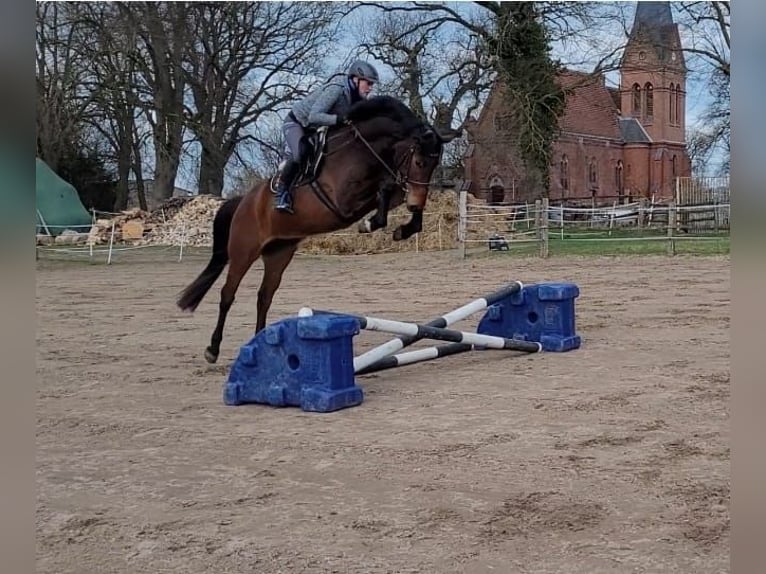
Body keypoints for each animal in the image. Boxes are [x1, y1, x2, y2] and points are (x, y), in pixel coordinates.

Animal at [177, 94, 460, 364]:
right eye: (420, 162)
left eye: (434, 165)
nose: (416, 201)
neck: (363, 148)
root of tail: (243, 201)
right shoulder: (342, 202)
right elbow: (384, 188)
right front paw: (370, 224)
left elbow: (392, 193)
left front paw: (403, 229)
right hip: (243, 252)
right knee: (228, 294)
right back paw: (212, 349)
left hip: (279, 253)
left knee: (264, 297)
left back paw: (261, 344)